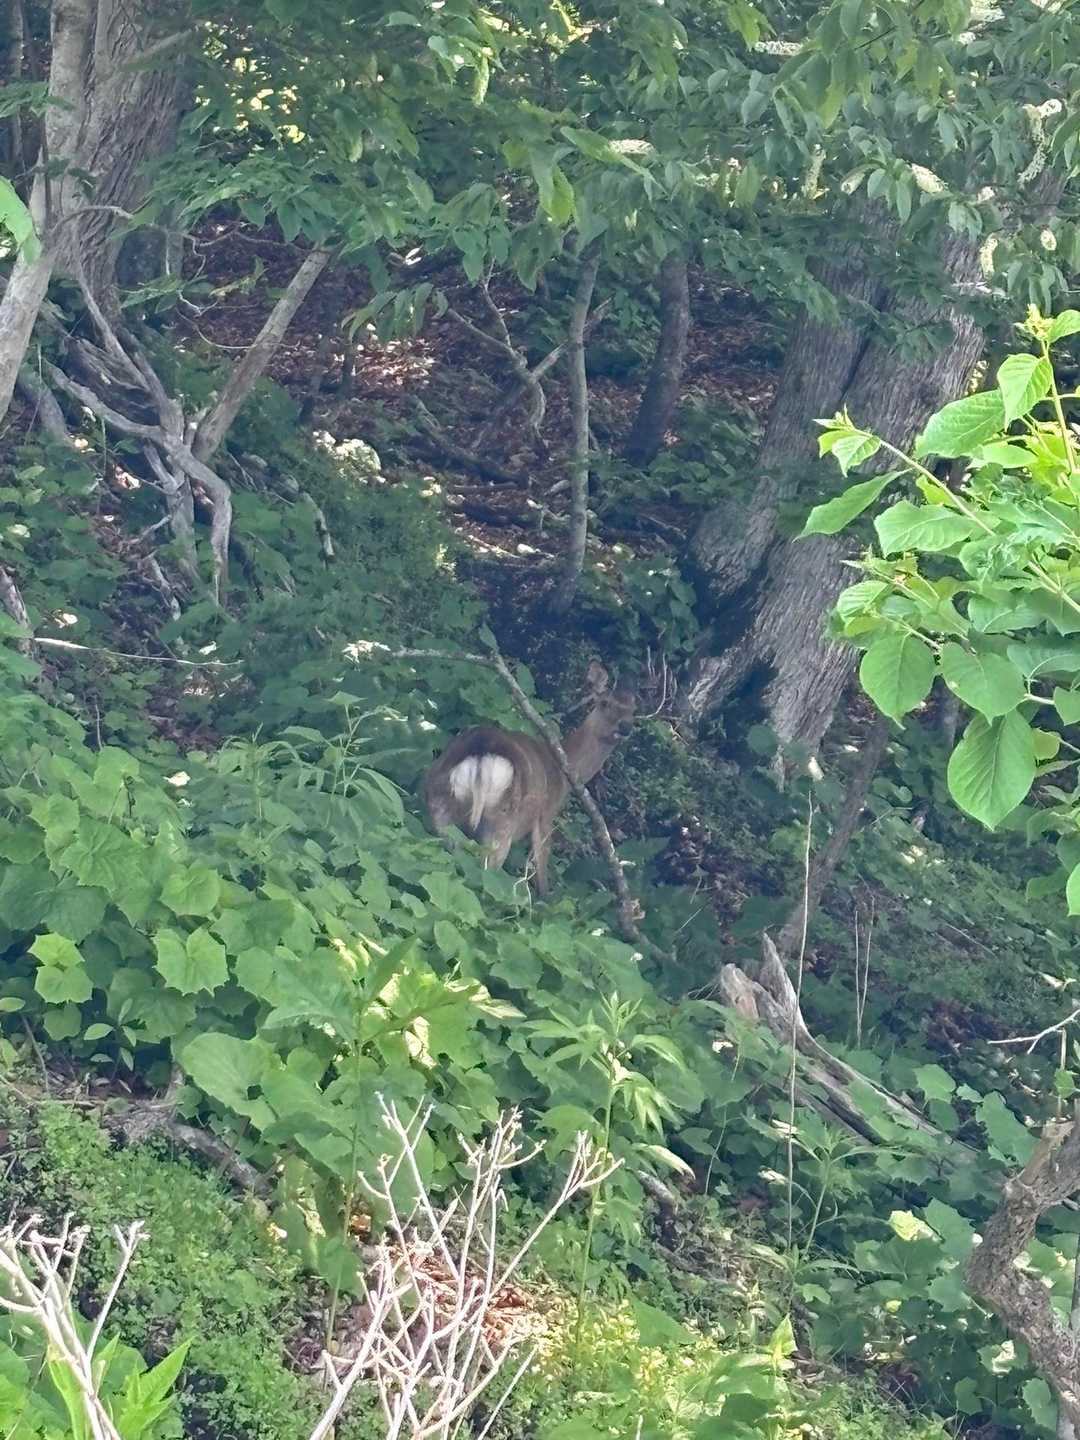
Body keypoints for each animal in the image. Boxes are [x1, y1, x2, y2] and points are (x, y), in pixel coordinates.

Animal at [422, 662, 636, 894]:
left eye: (633, 710)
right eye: (605, 703)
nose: (625, 727)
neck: (563, 773)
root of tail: (481, 753)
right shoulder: (547, 814)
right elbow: (541, 873)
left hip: (440, 803)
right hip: (501, 821)